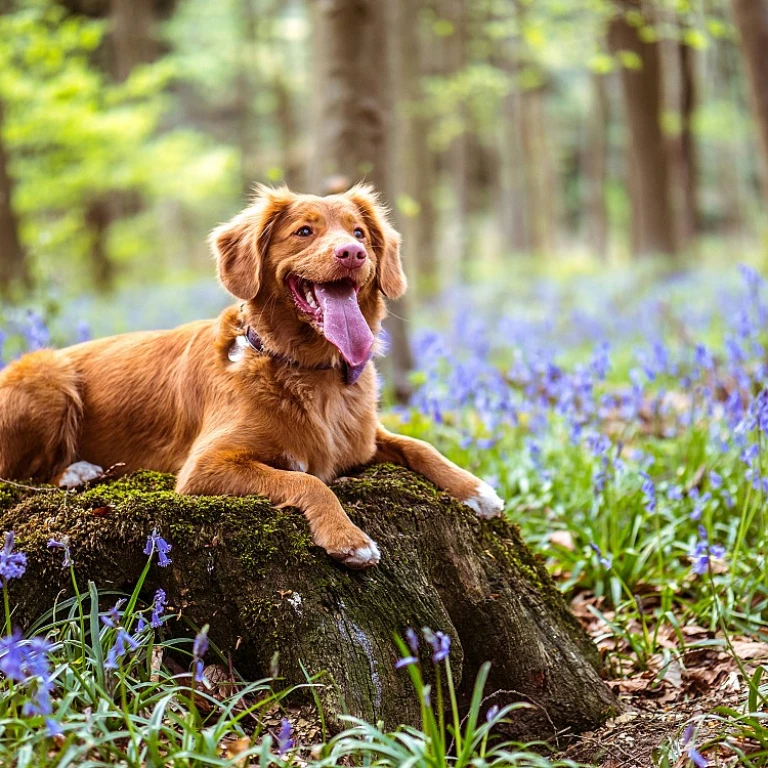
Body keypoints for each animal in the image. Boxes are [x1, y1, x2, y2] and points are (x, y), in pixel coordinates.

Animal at [1, 184, 504, 568]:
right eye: (304, 231)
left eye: (360, 232)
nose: (353, 252)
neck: (308, 371)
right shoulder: (203, 469)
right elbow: (310, 481)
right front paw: (348, 538)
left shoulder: (360, 439)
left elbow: (419, 445)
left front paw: (475, 488)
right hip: (46, 375)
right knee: (22, 473)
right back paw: (76, 472)